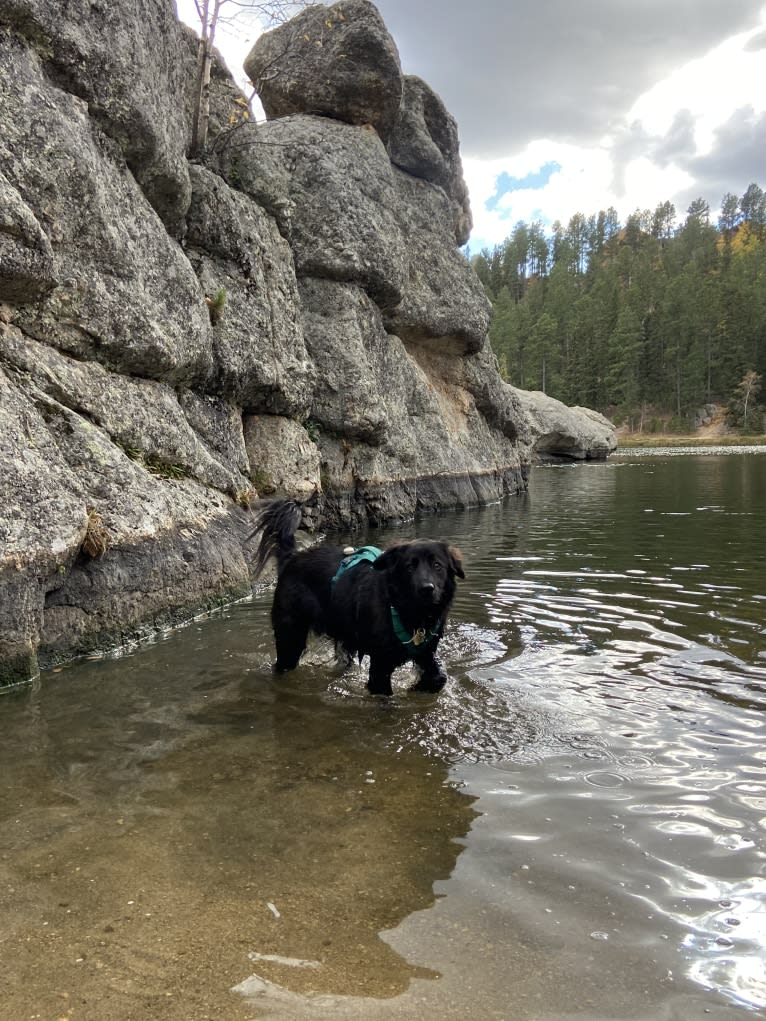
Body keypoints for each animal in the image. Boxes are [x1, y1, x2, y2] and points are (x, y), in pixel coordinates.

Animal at [253, 500, 467, 698]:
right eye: (409, 567)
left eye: (437, 565)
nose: (427, 589)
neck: (407, 612)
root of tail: (291, 559)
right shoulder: (380, 665)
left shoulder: (426, 653)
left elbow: (439, 678)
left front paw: (418, 688)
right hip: (290, 637)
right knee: (281, 665)